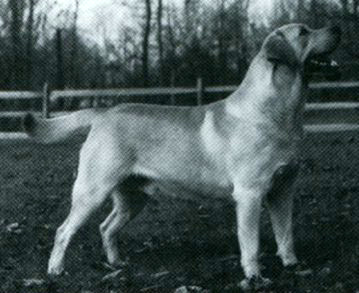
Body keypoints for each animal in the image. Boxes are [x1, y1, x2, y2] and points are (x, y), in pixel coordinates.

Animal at [23, 24, 342, 288]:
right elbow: (250, 243)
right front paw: (255, 276)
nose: (336, 29)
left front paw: (292, 265)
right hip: (92, 190)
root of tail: (104, 112)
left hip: (132, 197)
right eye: (303, 32)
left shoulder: (283, 189)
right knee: (63, 230)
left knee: (107, 227)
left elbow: (285, 233)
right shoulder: (250, 194)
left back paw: (116, 263)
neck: (278, 113)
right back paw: (56, 270)